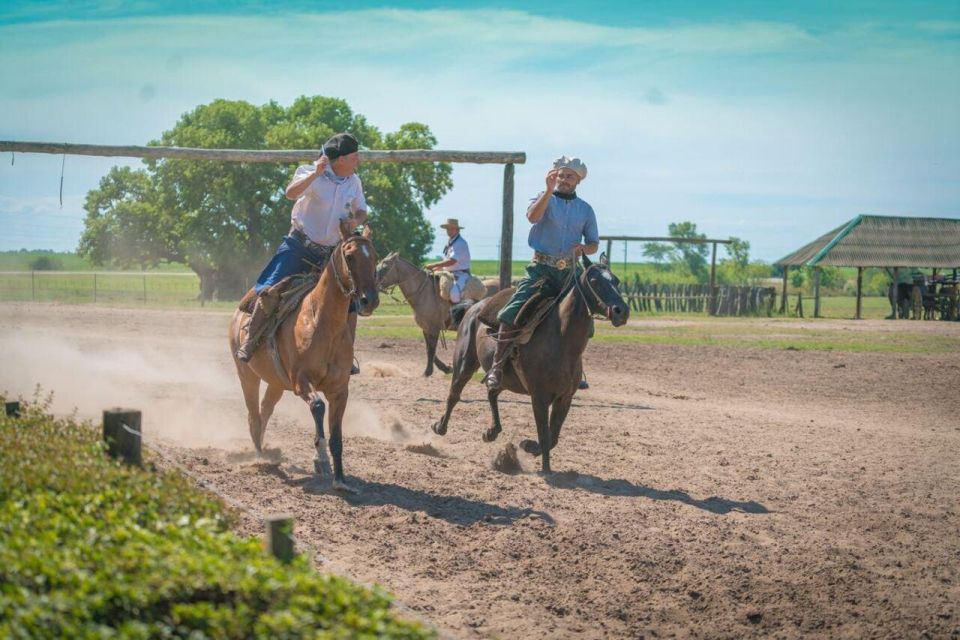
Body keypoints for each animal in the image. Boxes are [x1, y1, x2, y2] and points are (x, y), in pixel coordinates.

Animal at [231, 222, 380, 492]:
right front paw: (320, 457)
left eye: (374, 257)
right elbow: (318, 407)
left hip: (276, 383)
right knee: (253, 416)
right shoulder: (301, 381)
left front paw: (340, 479)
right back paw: (260, 459)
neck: (321, 323)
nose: (369, 300)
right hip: (246, 375)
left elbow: (337, 436)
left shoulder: (340, 390)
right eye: (350, 256)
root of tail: (239, 313)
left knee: (265, 411)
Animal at [430, 252, 628, 472]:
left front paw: (529, 447)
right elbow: (544, 435)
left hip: (504, 378)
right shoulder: (539, 397)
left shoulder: (565, 398)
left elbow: (552, 437)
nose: (622, 311)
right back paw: (440, 427)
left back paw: (491, 431)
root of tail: (474, 306)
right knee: (454, 394)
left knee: (492, 392)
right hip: (465, 363)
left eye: (616, 281)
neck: (562, 341)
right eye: (594, 281)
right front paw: (546, 470)